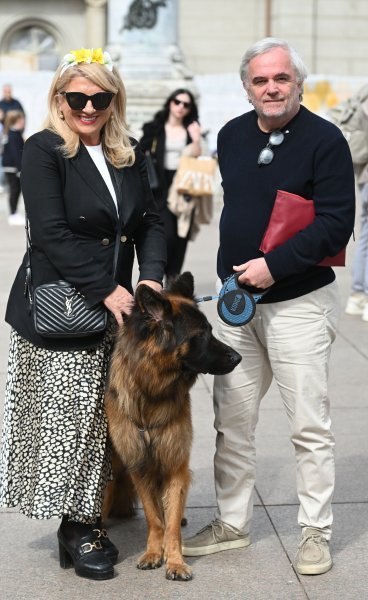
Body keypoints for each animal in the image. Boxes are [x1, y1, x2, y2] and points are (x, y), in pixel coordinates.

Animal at [103, 274, 242, 580]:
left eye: (211, 330)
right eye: (200, 335)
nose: (237, 358)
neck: (151, 392)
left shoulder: (174, 462)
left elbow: (172, 520)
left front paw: (175, 560)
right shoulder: (139, 463)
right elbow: (154, 517)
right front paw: (154, 552)